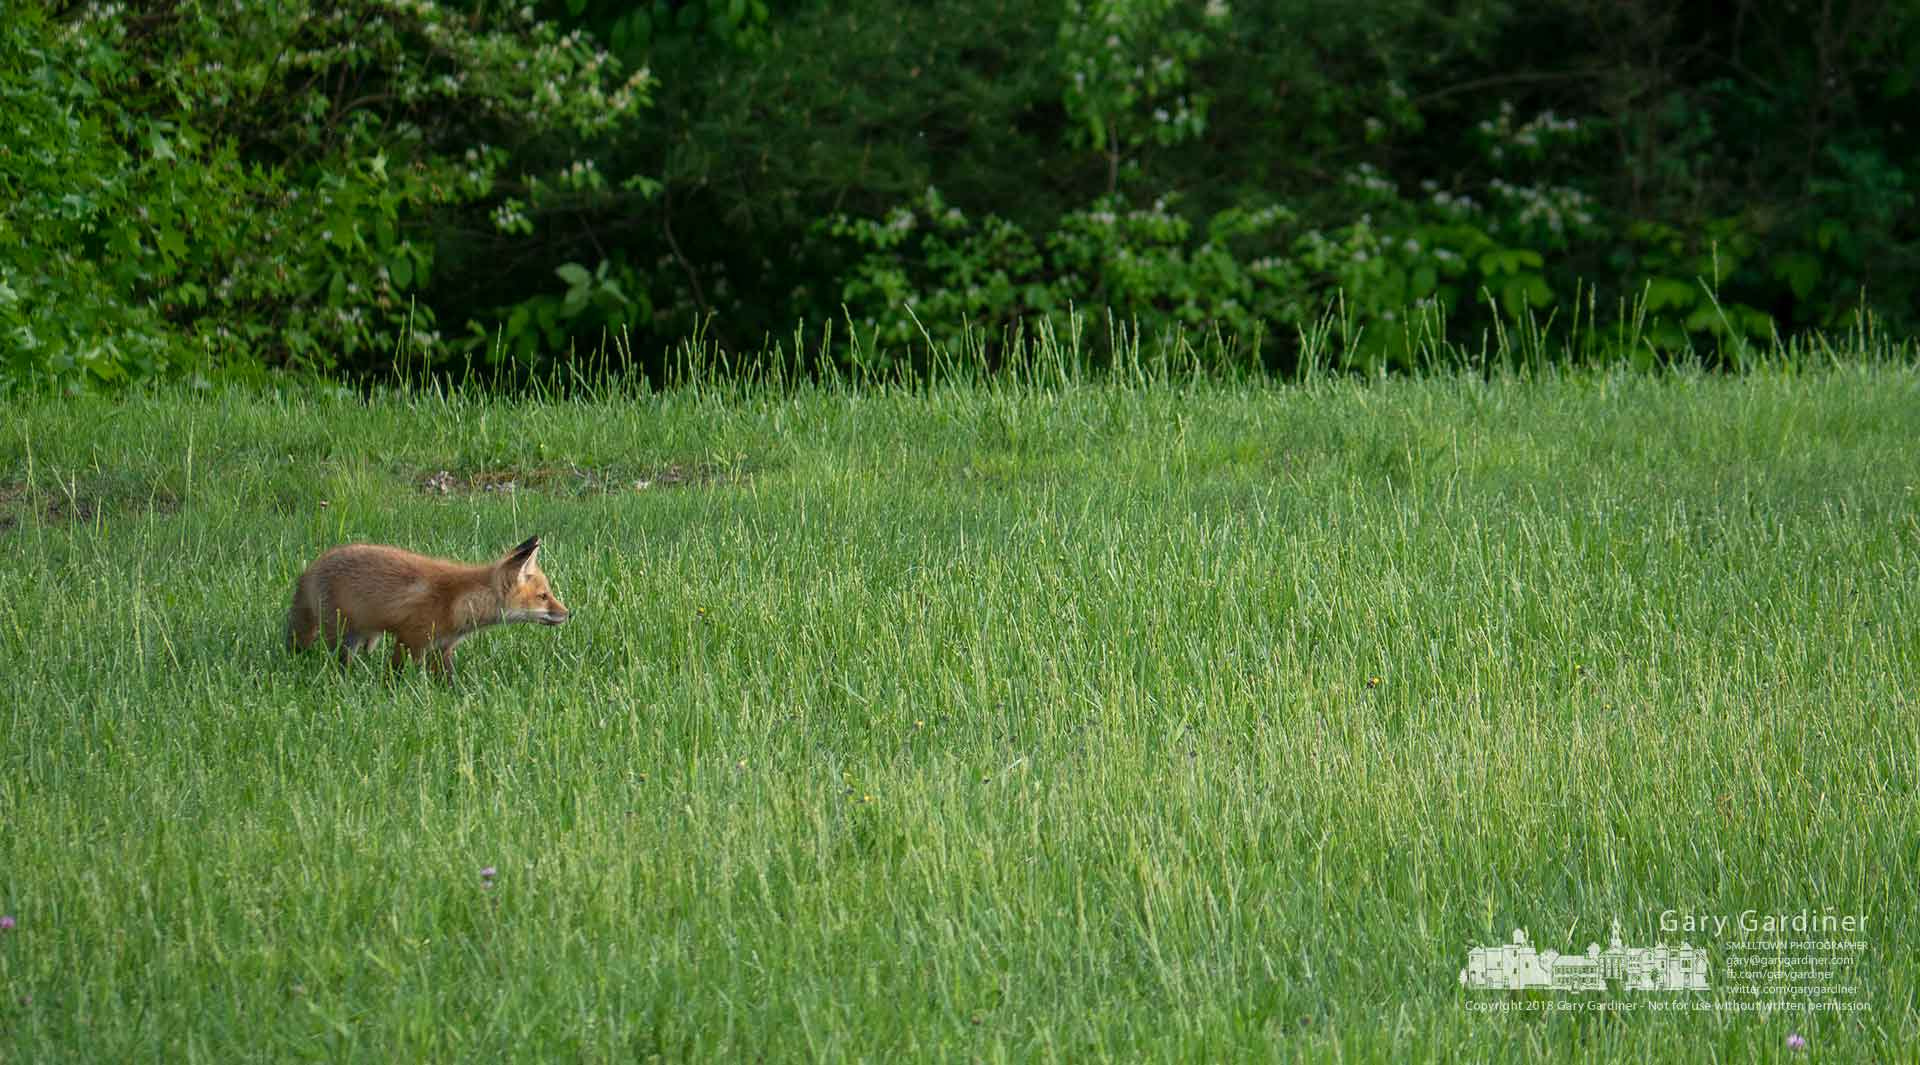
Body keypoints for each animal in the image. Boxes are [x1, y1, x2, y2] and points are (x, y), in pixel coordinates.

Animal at [286, 535, 569, 675]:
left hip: (360, 635)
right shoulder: (409, 638)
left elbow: (449, 680)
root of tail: (310, 568)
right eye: (544, 596)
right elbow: (394, 674)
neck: (456, 602)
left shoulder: (442, 649)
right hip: (342, 635)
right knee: (338, 661)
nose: (569, 613)